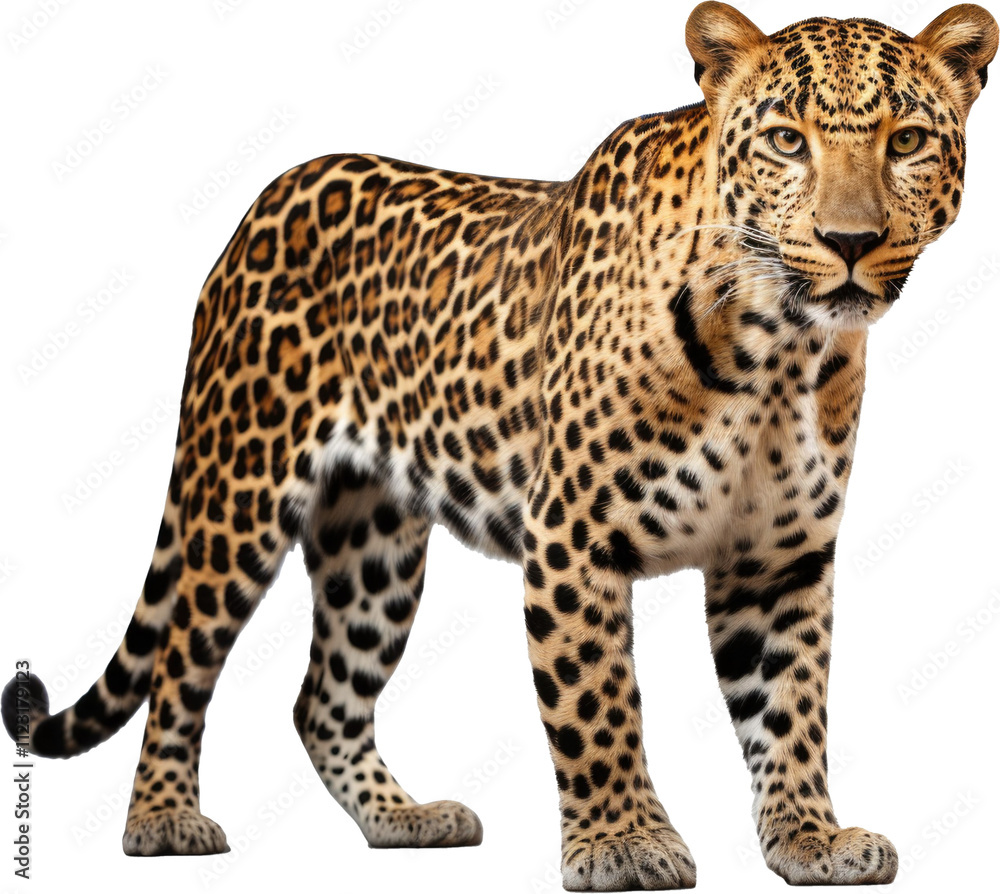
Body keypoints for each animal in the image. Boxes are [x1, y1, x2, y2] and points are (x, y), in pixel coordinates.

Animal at [3, 2, 996, 888]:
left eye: (907, 140)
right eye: (788, 141)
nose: (850, 241)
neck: (780, 348)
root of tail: (265, 200)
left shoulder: (778, 557)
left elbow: (791, 706)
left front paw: (810, 839)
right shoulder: (574, 536)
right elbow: (596, 700)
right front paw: (623, 845)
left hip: (373, 543)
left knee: (323, 698)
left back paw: (403, 818)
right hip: (237, 489)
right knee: (182, 659)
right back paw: (163, 820)